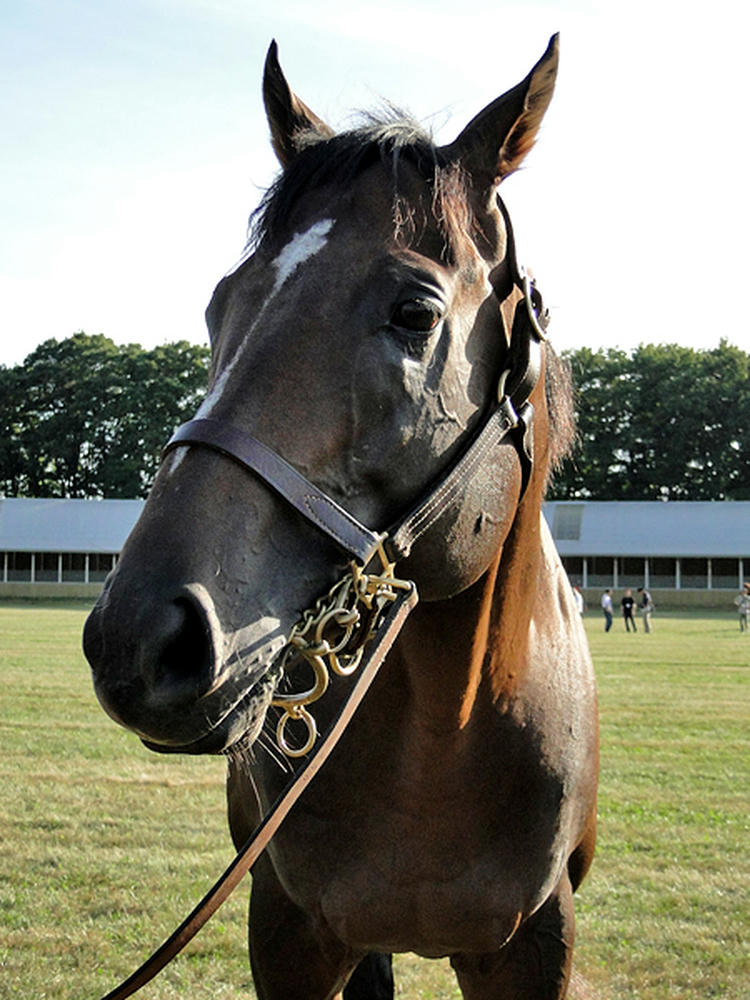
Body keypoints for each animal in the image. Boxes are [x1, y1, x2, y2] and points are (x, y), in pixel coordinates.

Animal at [82, 35, 600, 996]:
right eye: (220, 304)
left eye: (416, 311)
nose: (141, 637)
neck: (449, 736)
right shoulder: (292, 930)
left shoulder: (533, 941)